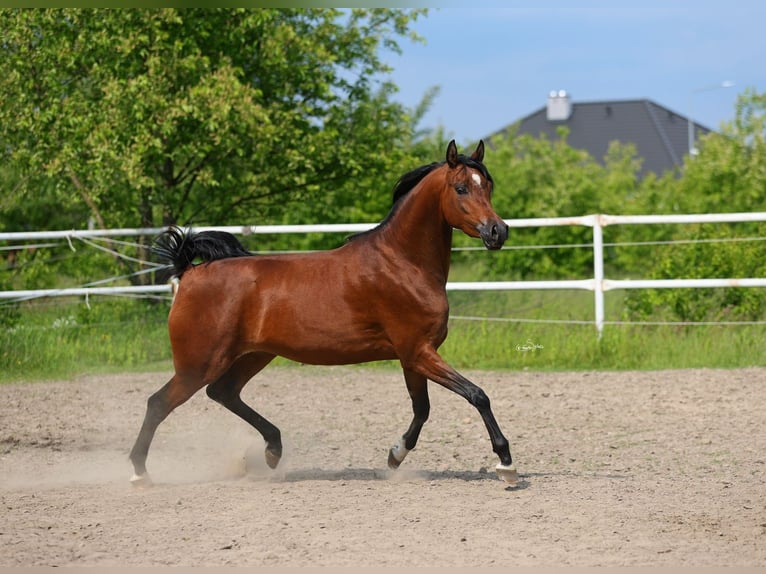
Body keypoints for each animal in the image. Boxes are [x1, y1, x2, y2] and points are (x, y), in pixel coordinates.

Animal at [129, 140, 518, 486]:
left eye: (488, 185)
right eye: (461, 188)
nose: (497, 231)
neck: (403, 263)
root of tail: (189, 271)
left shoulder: (413, 355)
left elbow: (421, 410)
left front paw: (394, 457)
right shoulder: (418, 352)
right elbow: (476, 395)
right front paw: (506, 464)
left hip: (254, 355)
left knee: (222, 392)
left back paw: (273, 451)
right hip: (199, 363)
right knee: (158, 403)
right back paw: (139, 474)